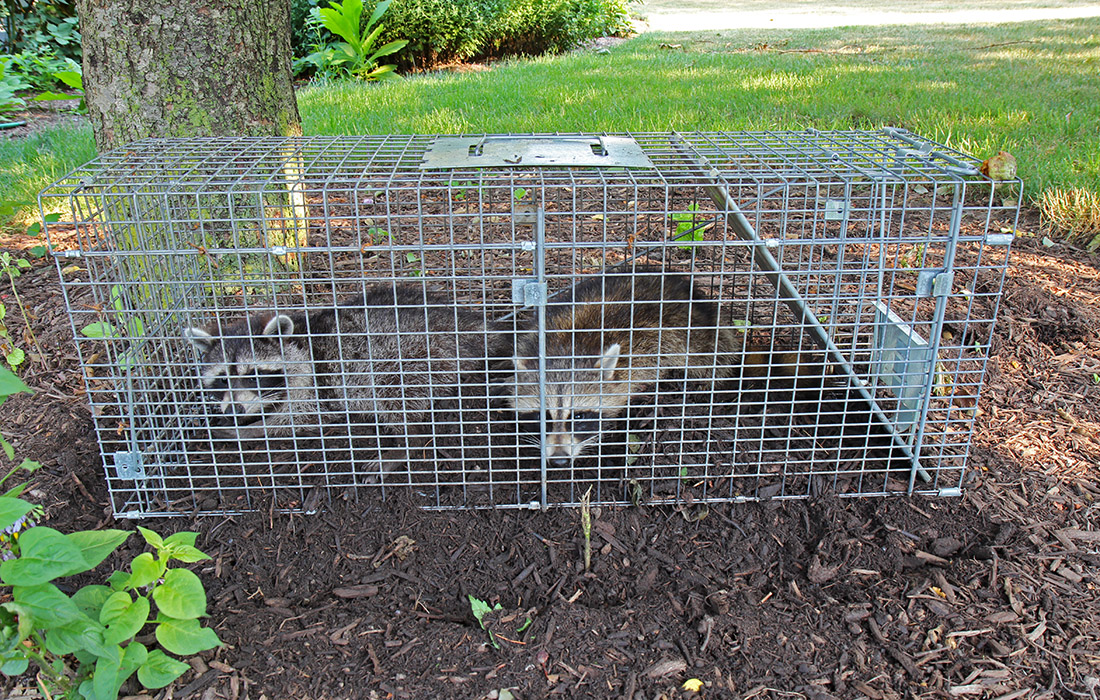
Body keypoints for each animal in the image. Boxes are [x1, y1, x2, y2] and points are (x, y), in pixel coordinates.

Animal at [182, 283, 492, 453]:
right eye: (222, 379)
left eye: (253, 375)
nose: (234, 411)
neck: (299, 342)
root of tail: (462, 322)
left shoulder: (313, 385)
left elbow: (295, 419)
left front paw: (250, 429)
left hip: (413, 356)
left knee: (391, 394)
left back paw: (406, 444)